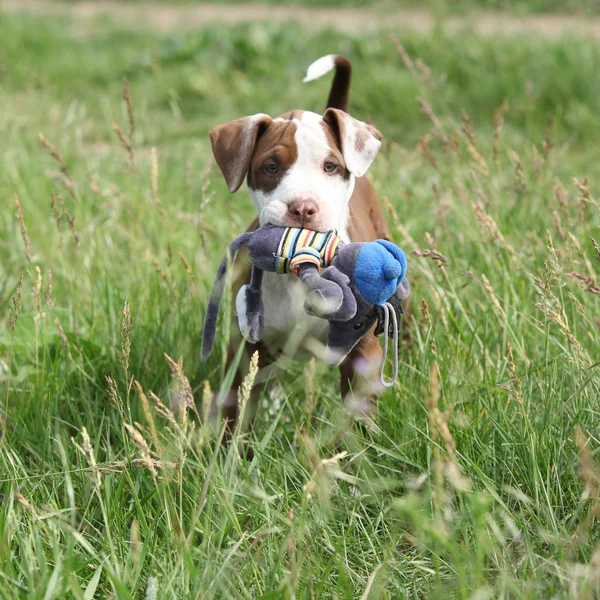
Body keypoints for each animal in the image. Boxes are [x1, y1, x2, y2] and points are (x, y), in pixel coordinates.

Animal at [209, 52, 396, 426]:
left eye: (330, 166)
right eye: (270, 167)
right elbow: (236, 410)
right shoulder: (245, 348)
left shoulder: (362, 353)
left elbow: (359, 418)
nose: (303, 208)